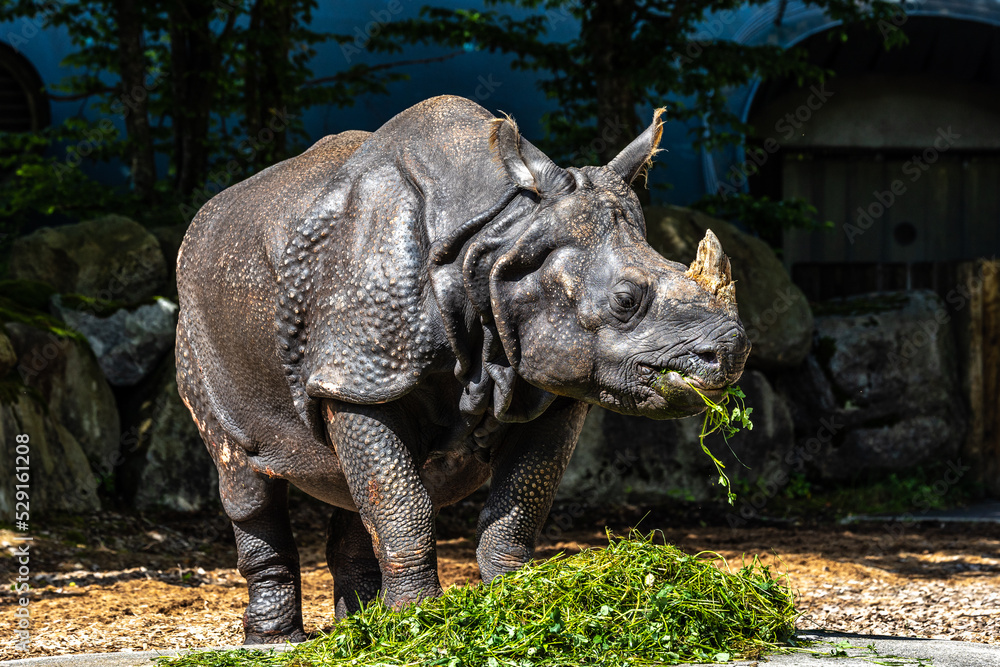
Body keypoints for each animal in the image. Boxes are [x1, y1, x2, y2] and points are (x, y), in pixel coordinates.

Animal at [176, 95, 750, 643]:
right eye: (626, 300)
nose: (730, 352)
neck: (499, 243)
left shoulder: (552, 383)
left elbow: (517, 507)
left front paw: (514, 603)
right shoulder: (362, 372)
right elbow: (404, 507)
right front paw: (420, 625)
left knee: (349, 481)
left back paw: (359, 628)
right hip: (199, 325)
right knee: (245, 476)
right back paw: (277, 642)